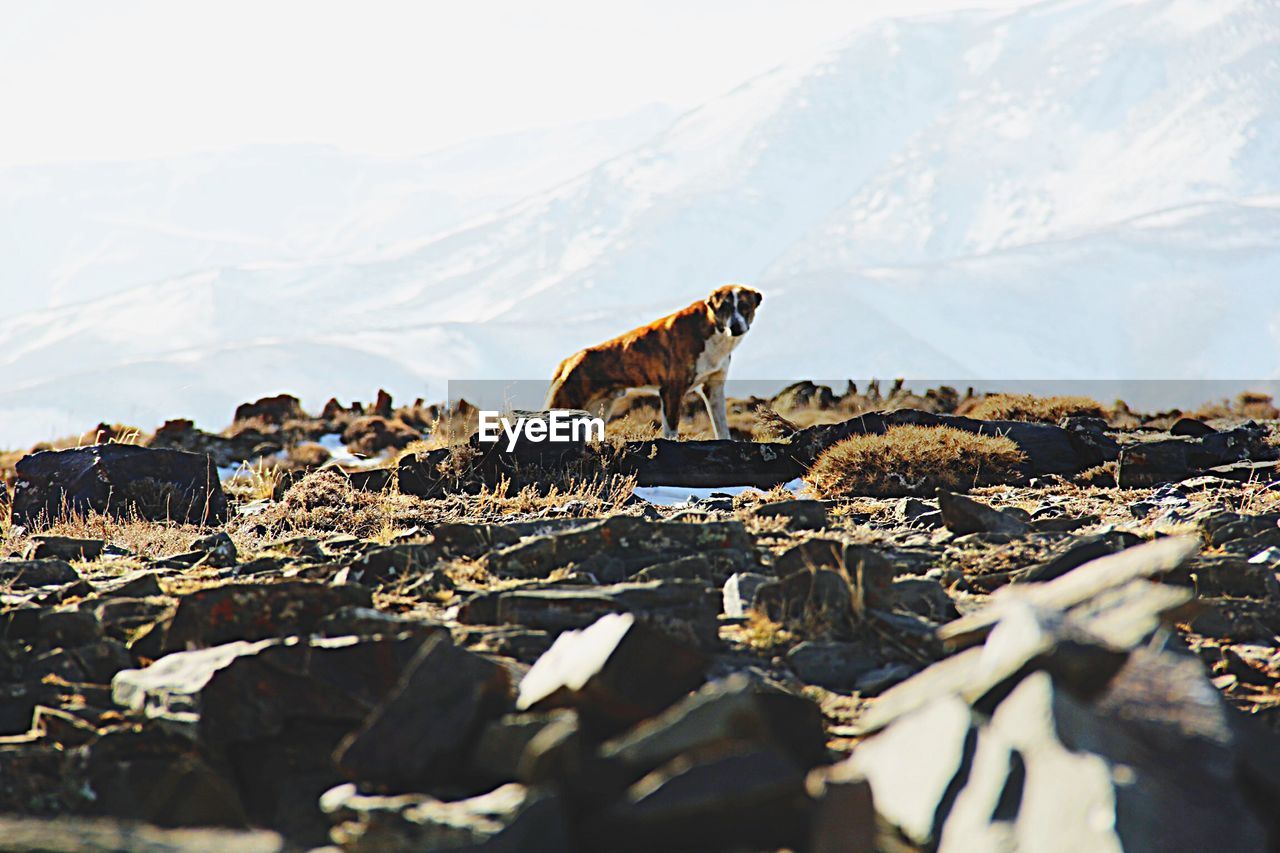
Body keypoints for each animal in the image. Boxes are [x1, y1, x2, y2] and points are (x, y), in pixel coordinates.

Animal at [547, 284, 757, 438]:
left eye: (744, 307)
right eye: (724, 308)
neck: (715, 331)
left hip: (600, 408)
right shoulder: (672, 390)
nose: (736, 326)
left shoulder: (714, 387)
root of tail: (568, 361)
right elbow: (671, 432)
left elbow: (722, 427)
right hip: (568, 400)